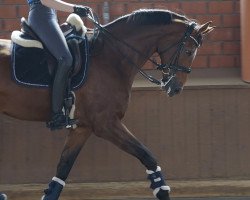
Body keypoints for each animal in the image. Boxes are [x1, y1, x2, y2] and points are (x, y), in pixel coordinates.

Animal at [0, 9, 214, 200]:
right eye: (188, 51)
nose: (175, 87)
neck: (111, 58)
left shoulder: (82, 127)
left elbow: (62, 169)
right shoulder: (106, 124)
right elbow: (147, 156)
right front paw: (162, 191)